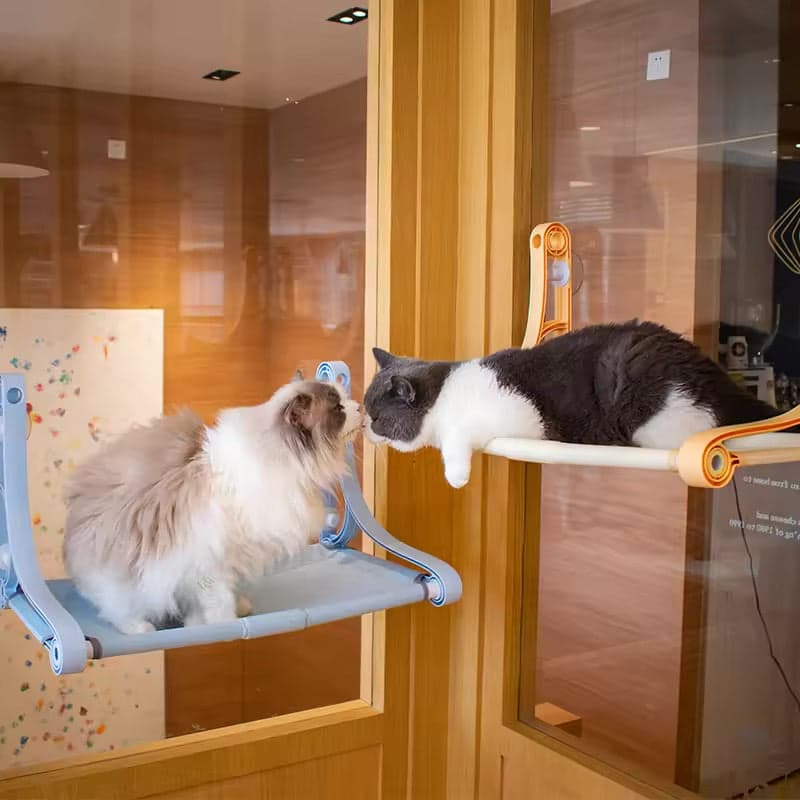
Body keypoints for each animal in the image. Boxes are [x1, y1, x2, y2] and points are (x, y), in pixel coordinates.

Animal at [64, 378, 364, 636]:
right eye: (337, 408)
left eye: (344, 399)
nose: (360, 407)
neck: (279, 460)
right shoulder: (207, 561)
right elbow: (218, 601)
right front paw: (225, 625)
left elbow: (218, 596)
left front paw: (212, 617)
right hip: (124, 577)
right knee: (115, 608)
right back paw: (140, 628)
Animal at [366, 318, 784, 488]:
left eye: (376, 417)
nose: (366, 430)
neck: (445, 395)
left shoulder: (516, 414)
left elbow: (459, 436)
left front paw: (456, 475)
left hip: (651, 404)